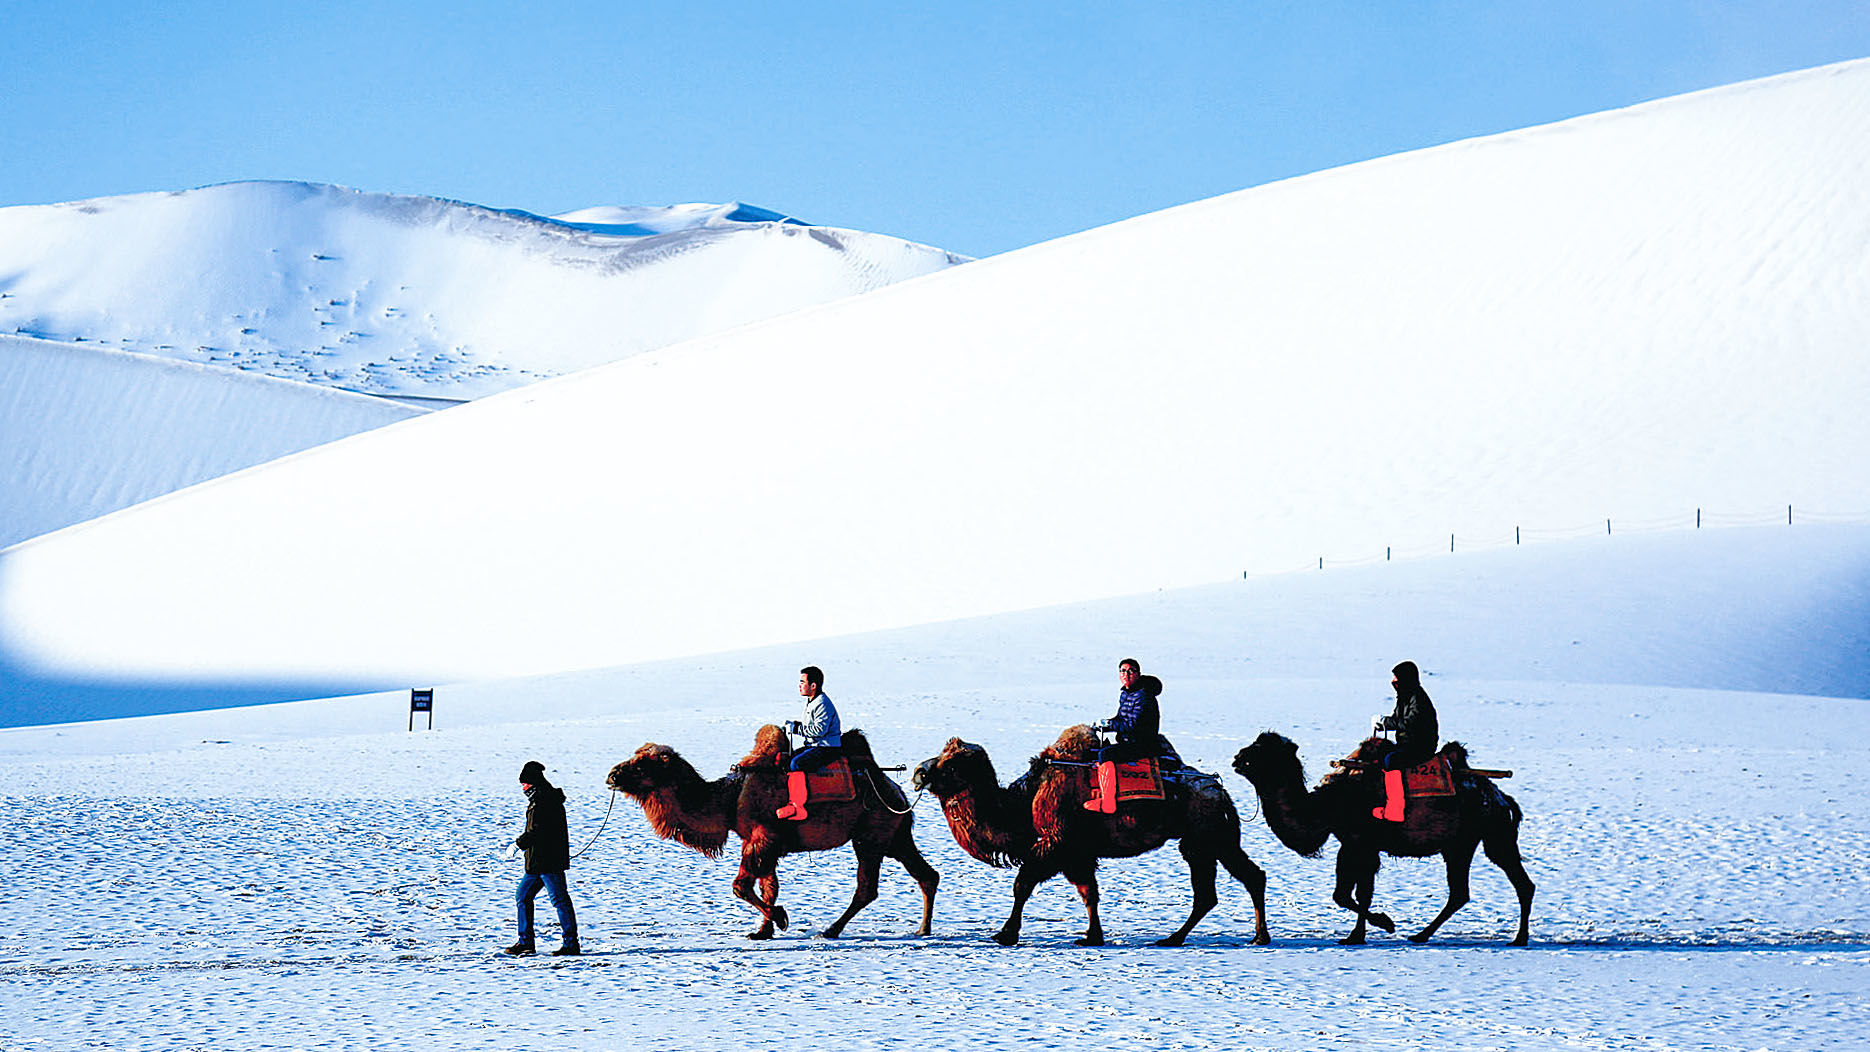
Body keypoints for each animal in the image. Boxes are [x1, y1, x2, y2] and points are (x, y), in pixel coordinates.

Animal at [609, 728, 942, 941]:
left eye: (642, 765)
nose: (612, 775)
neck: (728, 799)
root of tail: (896, 789)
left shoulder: (763, 837)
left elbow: (741, 886)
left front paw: (780, 918)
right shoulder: (759, 842)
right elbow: (769, 885)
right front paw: (762, 931)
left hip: (870, 836)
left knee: (867, 888)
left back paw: (831, 930)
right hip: (895, 836)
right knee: (925, 874)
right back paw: (922, 929)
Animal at [908, 728, 1271, 949]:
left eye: (952, 764)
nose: (918, 773)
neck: (1024, 803)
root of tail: (1219, 789)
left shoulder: (1054, 843)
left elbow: (1022, 885)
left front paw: (1005, 934)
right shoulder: (1076, 853)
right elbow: (1089, 893)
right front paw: (1092, 936)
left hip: (1208, 835)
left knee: (1234, 882)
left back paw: (1253, 937)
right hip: (1206, 840)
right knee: (1224, 887)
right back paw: (1179, 938)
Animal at [1234, 732, 1525, 945]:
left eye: (1263, 750)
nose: (1237, 757)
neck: (1328, 806)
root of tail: (1501, 798)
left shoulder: (1360, 844)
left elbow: (1353, 895)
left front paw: (1379, 926)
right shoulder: (1353, 845)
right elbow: (1349, 894)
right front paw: (1359, 934)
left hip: (1487, 837)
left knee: (1518, 884)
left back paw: (1519, 939)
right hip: (1461, 845)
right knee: (1461, 893)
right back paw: (1421, 935)